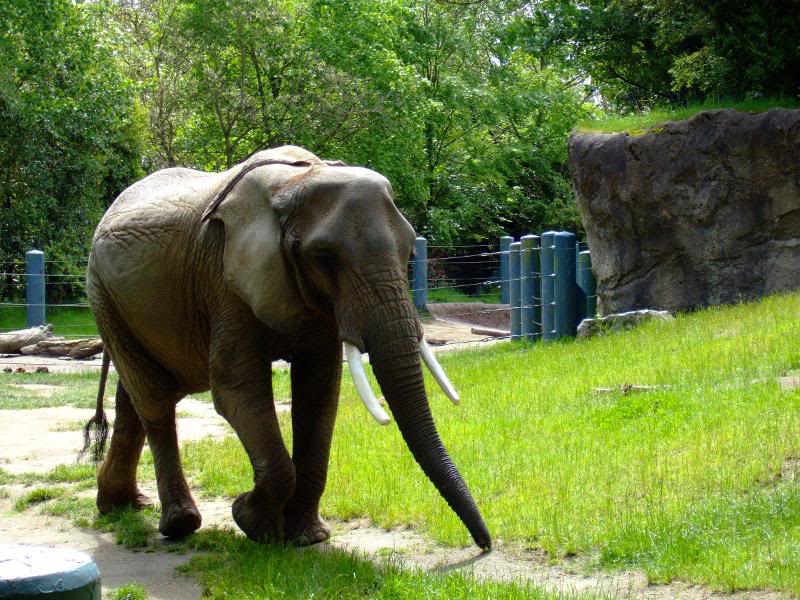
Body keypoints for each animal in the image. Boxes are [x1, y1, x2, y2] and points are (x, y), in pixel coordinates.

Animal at [83, 145, 490, 550]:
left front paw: (307, 537)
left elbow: (319, 390)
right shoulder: (225, 277)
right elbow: (235, 387)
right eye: (325, 259)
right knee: (154, 399)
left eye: (410, 252)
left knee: (136, 396)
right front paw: (251, 522)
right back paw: (179, 524)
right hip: (102, 294)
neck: (300, 181)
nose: (483, 545)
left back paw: (122, 506)